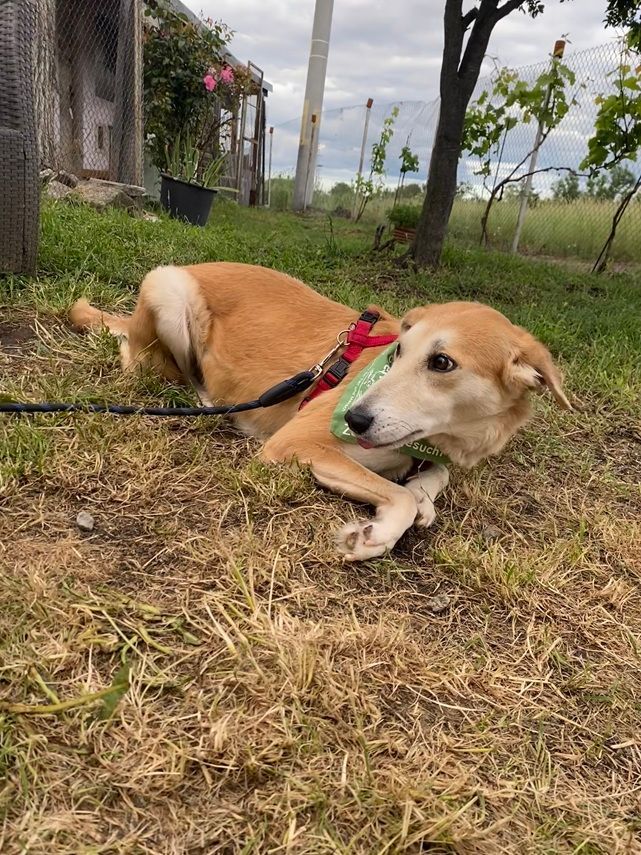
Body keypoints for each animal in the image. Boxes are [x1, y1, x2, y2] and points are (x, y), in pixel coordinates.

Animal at [69, 262, 572, 561]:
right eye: (398, 352)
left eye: (442, 363)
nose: (353, 420)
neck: (436, 439)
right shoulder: (299, 440)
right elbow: (399, 496)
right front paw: (375, 533)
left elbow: (434, 476)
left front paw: (425, 494)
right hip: (167, 288)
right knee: (138, 359)